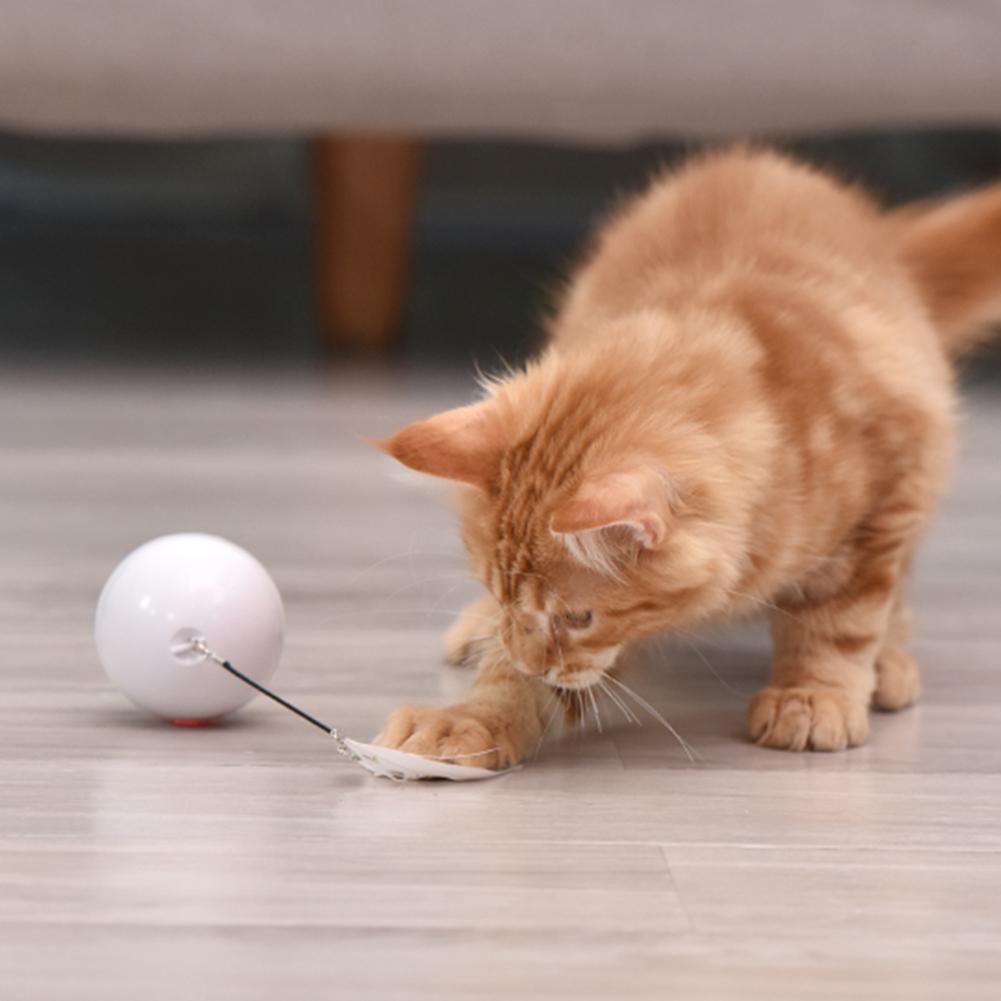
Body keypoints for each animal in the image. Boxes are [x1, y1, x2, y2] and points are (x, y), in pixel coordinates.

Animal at [372, 146, 996, 764]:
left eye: (577, 617)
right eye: (503, 593)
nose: (530, 659)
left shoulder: (886, 495)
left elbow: (842, 619)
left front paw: (814, 693)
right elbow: (520, 684)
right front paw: (471, 718)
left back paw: (888, 661)